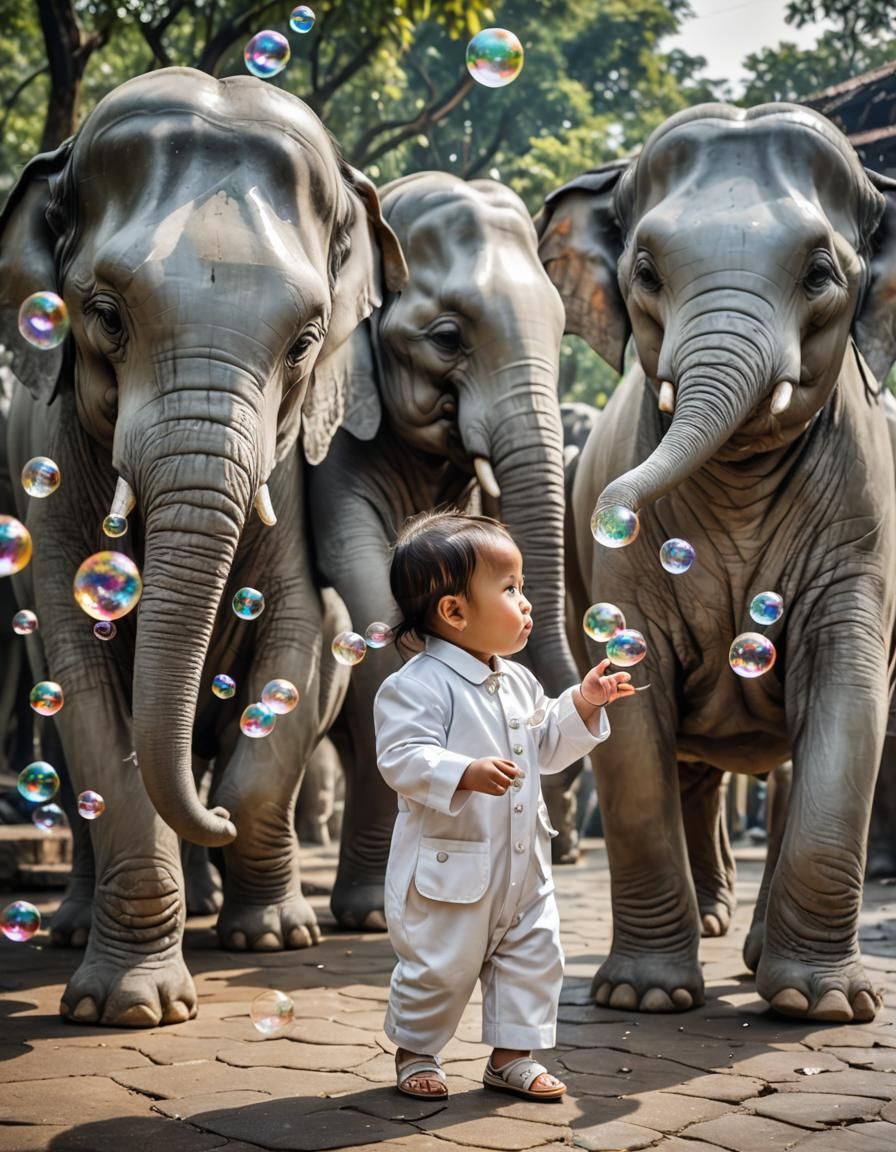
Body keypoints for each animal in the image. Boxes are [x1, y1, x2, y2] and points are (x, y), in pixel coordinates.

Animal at [0, 66, 406, 1026]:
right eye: (104, 315)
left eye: (305, 341)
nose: (211, 821)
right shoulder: (49, 470)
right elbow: (88, 695)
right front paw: (129, 1006)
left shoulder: (301, 481)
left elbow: (299, 642)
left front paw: (269, 937)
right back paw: (82, 923)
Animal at [536, 102, 896, 1022]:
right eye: (645, 271)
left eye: (820, 273)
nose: (608, 511)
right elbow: (631, 714)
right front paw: (641, 998)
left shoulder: (862, 528)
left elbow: (847, 701)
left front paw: (821, 1005)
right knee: (694, 768)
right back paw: (705, 926)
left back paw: (763, 954)